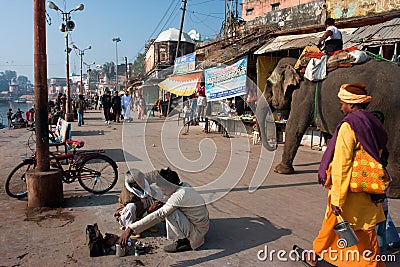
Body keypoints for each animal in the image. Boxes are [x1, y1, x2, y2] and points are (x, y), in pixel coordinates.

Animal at [256, 57, 400, 199]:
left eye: (268, 84)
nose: (274, 145)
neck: (297, 63)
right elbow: (330, 137)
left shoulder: (304, 95)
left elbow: (294, 126)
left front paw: (280, 170)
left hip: (393, 114)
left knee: (394, 149)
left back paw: (392, 193)